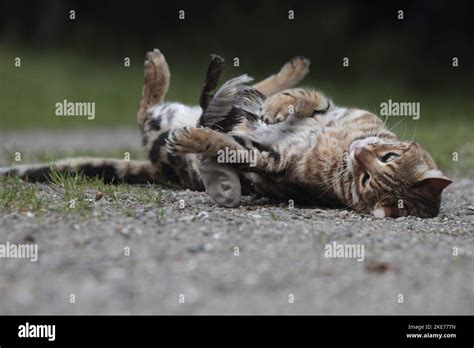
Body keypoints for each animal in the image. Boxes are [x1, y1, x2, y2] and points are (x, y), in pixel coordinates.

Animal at [0, 49, 452, 218]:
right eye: (385, 160)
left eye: (366, 180)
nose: (359, 156)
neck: (341, 148)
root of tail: (157, 169)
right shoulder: (335, 110)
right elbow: (308, 98)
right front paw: (281, 103)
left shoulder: (272, 164)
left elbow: (228, 147)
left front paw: (198, 139)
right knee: (252, 89)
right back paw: (281, 76)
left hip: (159, 132)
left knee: (146, 113)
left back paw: (161, 76)